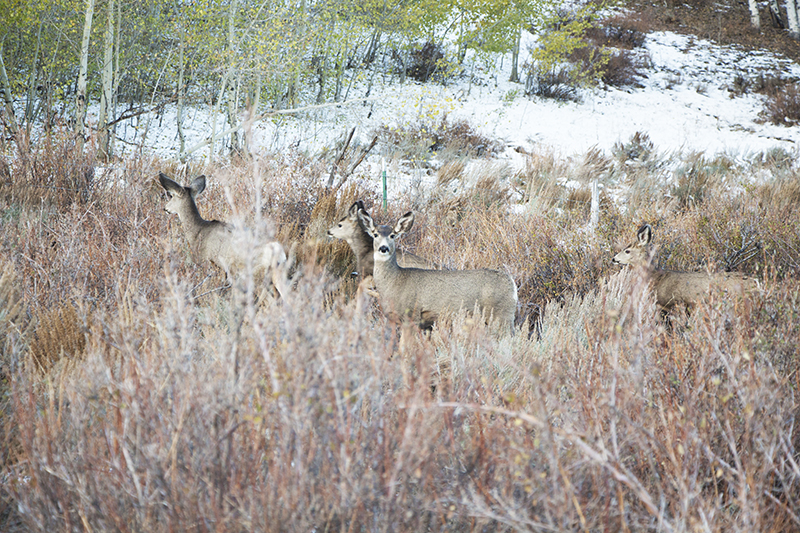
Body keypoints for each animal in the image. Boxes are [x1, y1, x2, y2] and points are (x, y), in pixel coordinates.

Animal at [158, 172, 292, 298]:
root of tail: (277, 250)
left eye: (172, 196)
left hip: (256, 273)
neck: (198, 231)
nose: (165, 208)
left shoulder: (208, 261)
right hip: (278, 273)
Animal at [358, 208, 520, 332]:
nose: (383, 248)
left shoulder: (412, 315)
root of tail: (511, 283)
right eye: (375, 234)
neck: (395, 281)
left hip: (501, 315)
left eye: (392, 235)